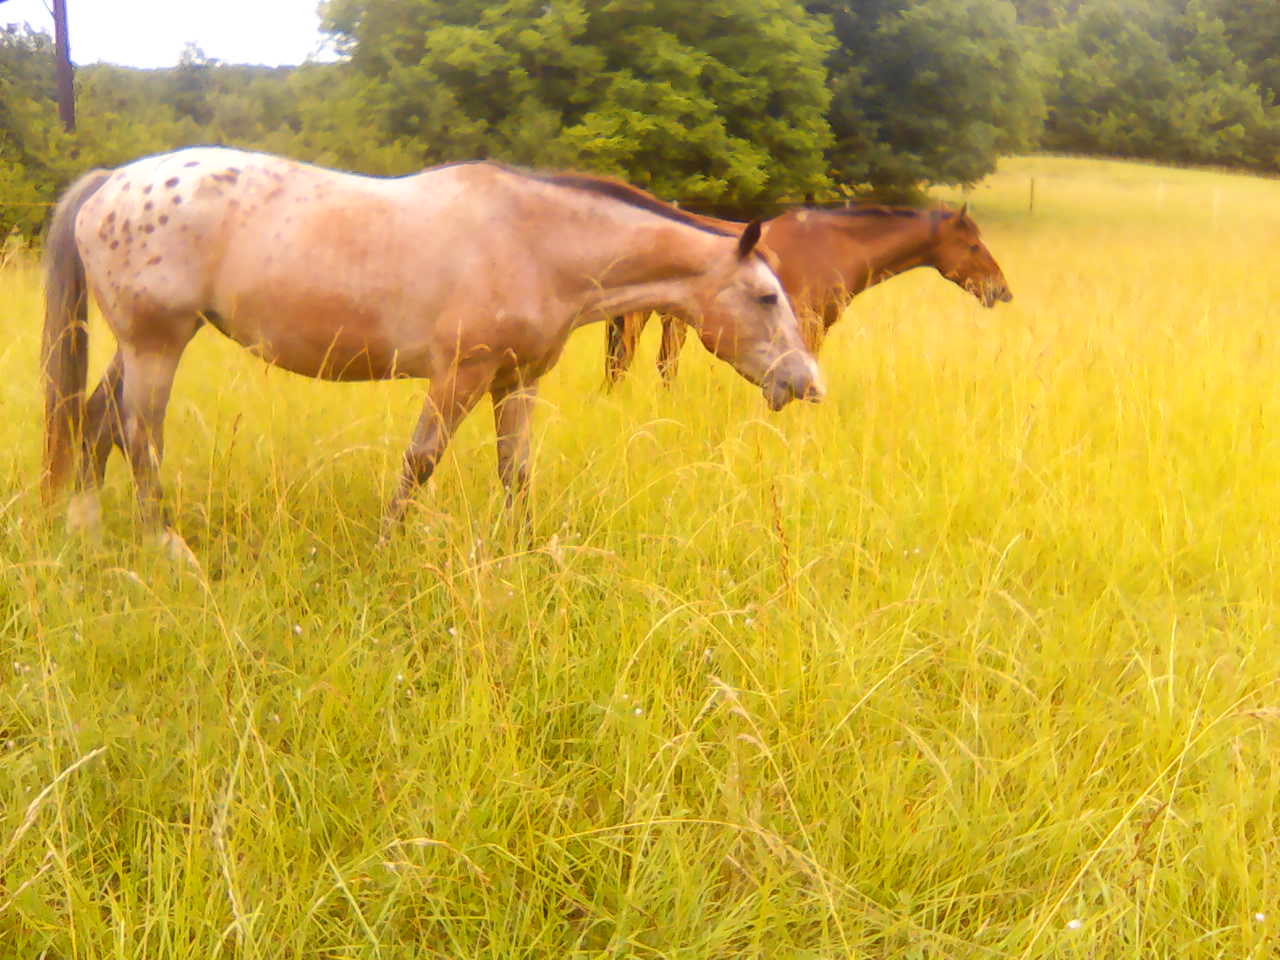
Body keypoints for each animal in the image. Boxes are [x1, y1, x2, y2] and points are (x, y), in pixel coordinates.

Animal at [40, 142, 824, 547]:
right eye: (767, 297)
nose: (808, 382)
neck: (535, 240)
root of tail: (112, 182)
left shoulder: (517, 379)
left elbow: (516, 470)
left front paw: (524, 549)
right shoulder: (460, 375)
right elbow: (419, 463)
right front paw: (386, 547)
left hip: (137, 345)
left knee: (94, 421)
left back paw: (86, 529)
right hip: (157, 345)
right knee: (138, 435)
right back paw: (166, 545)